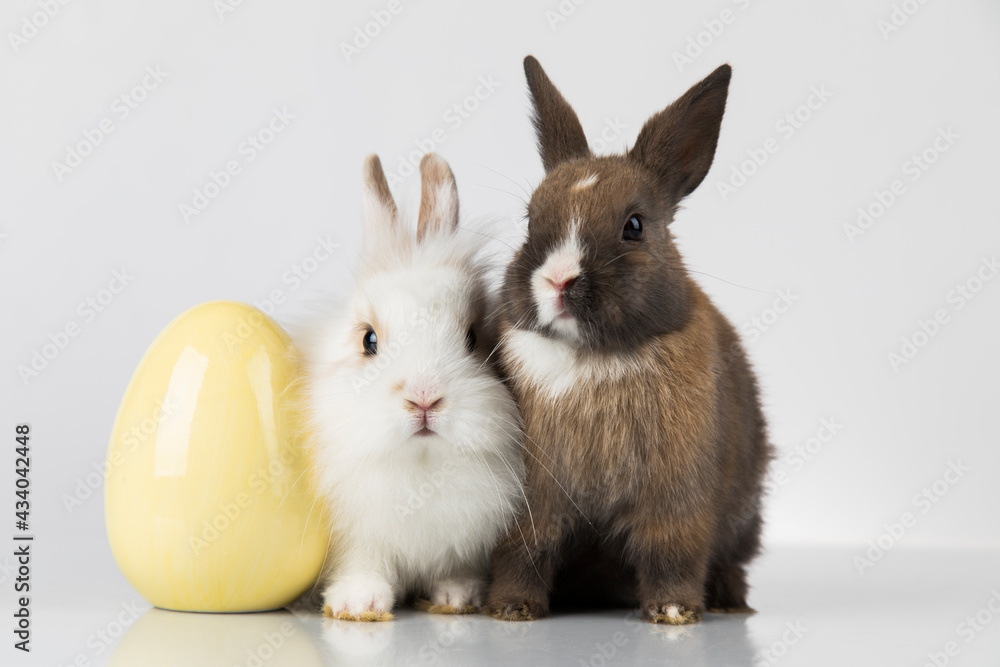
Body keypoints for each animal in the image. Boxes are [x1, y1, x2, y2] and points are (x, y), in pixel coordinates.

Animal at [301, 152, 526, 622]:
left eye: (473, 338)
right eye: (368, 340)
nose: (424, 398)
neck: (421, 469)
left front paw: (458, 597)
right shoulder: (356, 537)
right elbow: (362, 564)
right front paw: (358, 604)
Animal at [485, 57, 772, 625]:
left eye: (634, 225)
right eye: (530, 218)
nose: (558, 280)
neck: (591, 357)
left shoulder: (675, 502)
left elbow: (672, 553)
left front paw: (673, 612)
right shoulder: (533, 503)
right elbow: (525, 551)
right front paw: (510, 609)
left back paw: (729, 603)